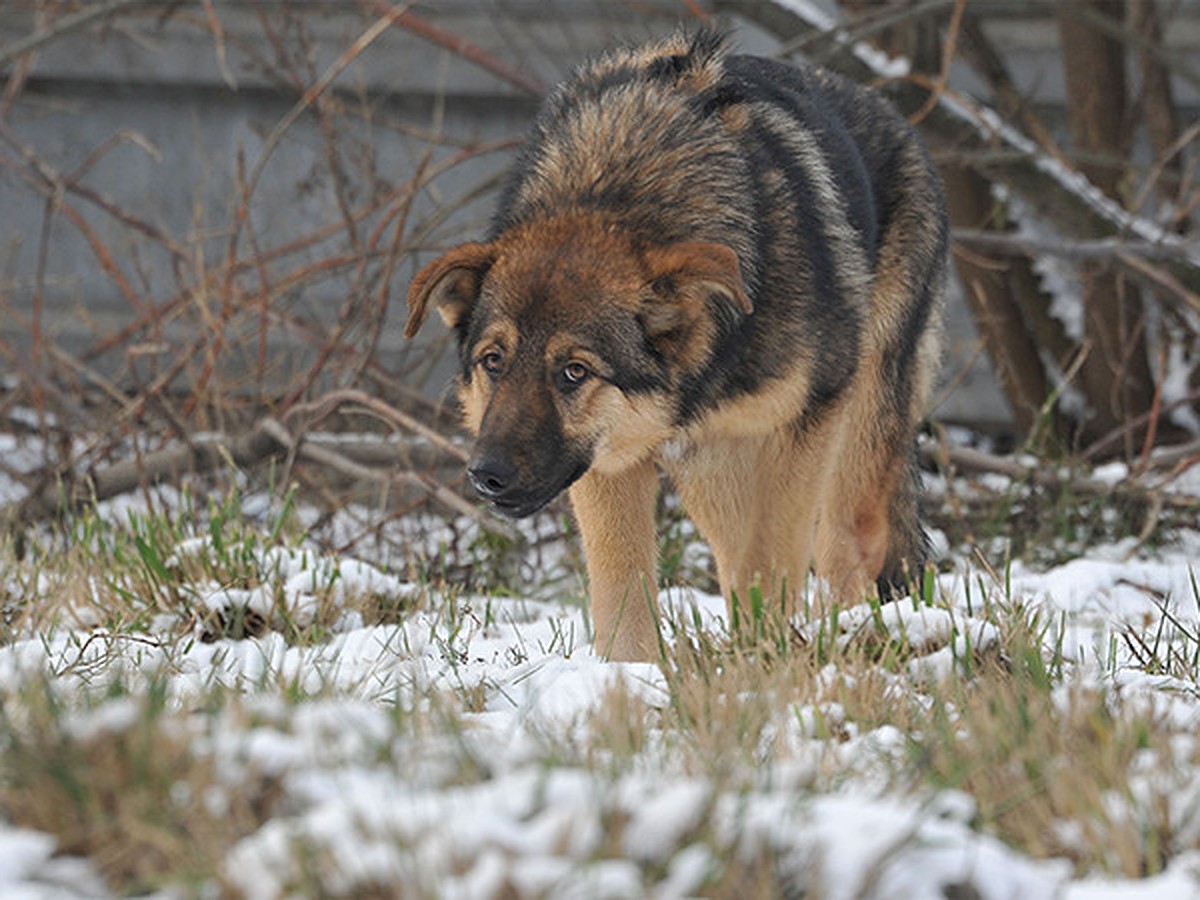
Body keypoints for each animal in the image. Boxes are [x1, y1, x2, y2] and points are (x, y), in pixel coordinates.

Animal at [403, 30, 945, 662]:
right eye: (494, 361)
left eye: (574, 371)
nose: (486, 476)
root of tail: (895, 116)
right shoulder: (609, 461)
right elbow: (623, 593)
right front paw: (632, 677)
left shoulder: (805, 425)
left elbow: (772, 559)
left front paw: (767, 664)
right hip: (716, 475)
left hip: (852, 448)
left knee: (844, 546)